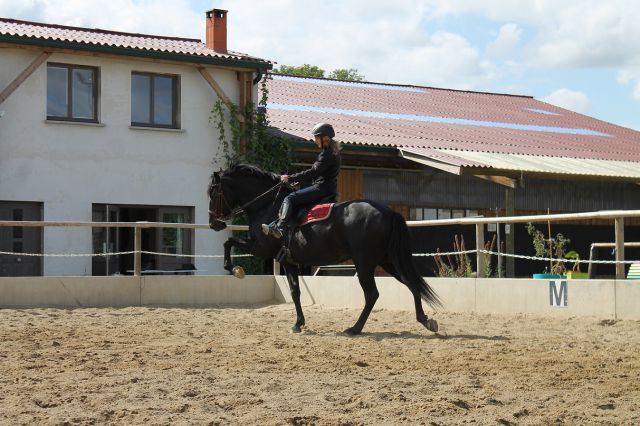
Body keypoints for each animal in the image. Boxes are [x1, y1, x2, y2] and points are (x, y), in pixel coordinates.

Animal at [209, 165, 440, 334]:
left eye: (213, 192)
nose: (214, 224)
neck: (268, 206)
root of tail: (388, 212)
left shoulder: (261, 248)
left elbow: (228, 242)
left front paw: (235, 269)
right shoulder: (287, 261)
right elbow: (295, 291)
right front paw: (298, 323)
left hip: (364, 264)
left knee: (372, 294)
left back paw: (354, 329)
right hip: (388, 260)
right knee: (411, 283)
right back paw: (425, 320)